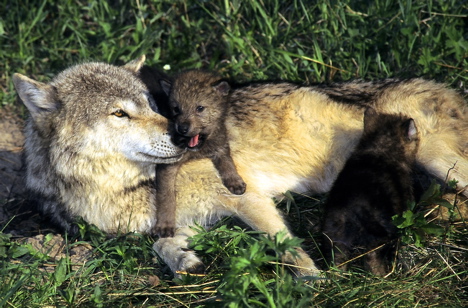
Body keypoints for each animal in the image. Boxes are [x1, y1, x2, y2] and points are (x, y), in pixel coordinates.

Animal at [155, 70, 247, 238]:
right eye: (176, 109)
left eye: (200, 108)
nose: (182, 128)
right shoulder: (167, 166)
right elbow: (167, 197)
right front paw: (164, 224)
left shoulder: (220, 146)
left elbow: (228, 164)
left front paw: (235, 181)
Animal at [322, 107, 420, 274]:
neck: (379, 148)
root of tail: (353, 209)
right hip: (380, 233)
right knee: (372, 258)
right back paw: (383, 276)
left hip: (336, 235)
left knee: (337, 261)